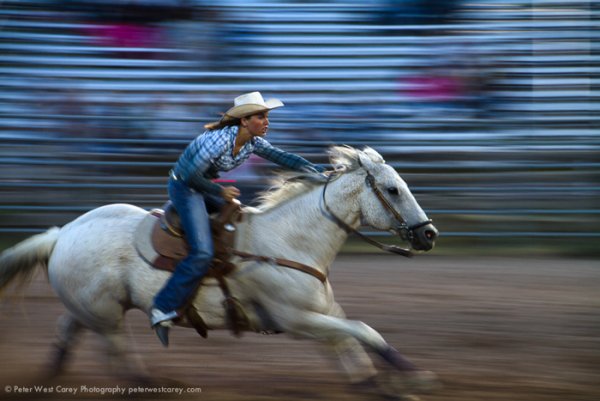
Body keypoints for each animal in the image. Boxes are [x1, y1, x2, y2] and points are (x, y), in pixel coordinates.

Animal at [1, 145, 440, 398]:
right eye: (393, 189)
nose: (429, 234)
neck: (288, 241)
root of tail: (62, 234)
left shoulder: (323, 313)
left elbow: (350, 344)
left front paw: (377, 385)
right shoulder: (296, 319)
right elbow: (365, 331)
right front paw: (412, 377)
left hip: (92, 308)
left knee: (67, 333)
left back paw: (49, 379)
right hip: (106, 315)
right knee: (116, 352)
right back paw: (152, 386)